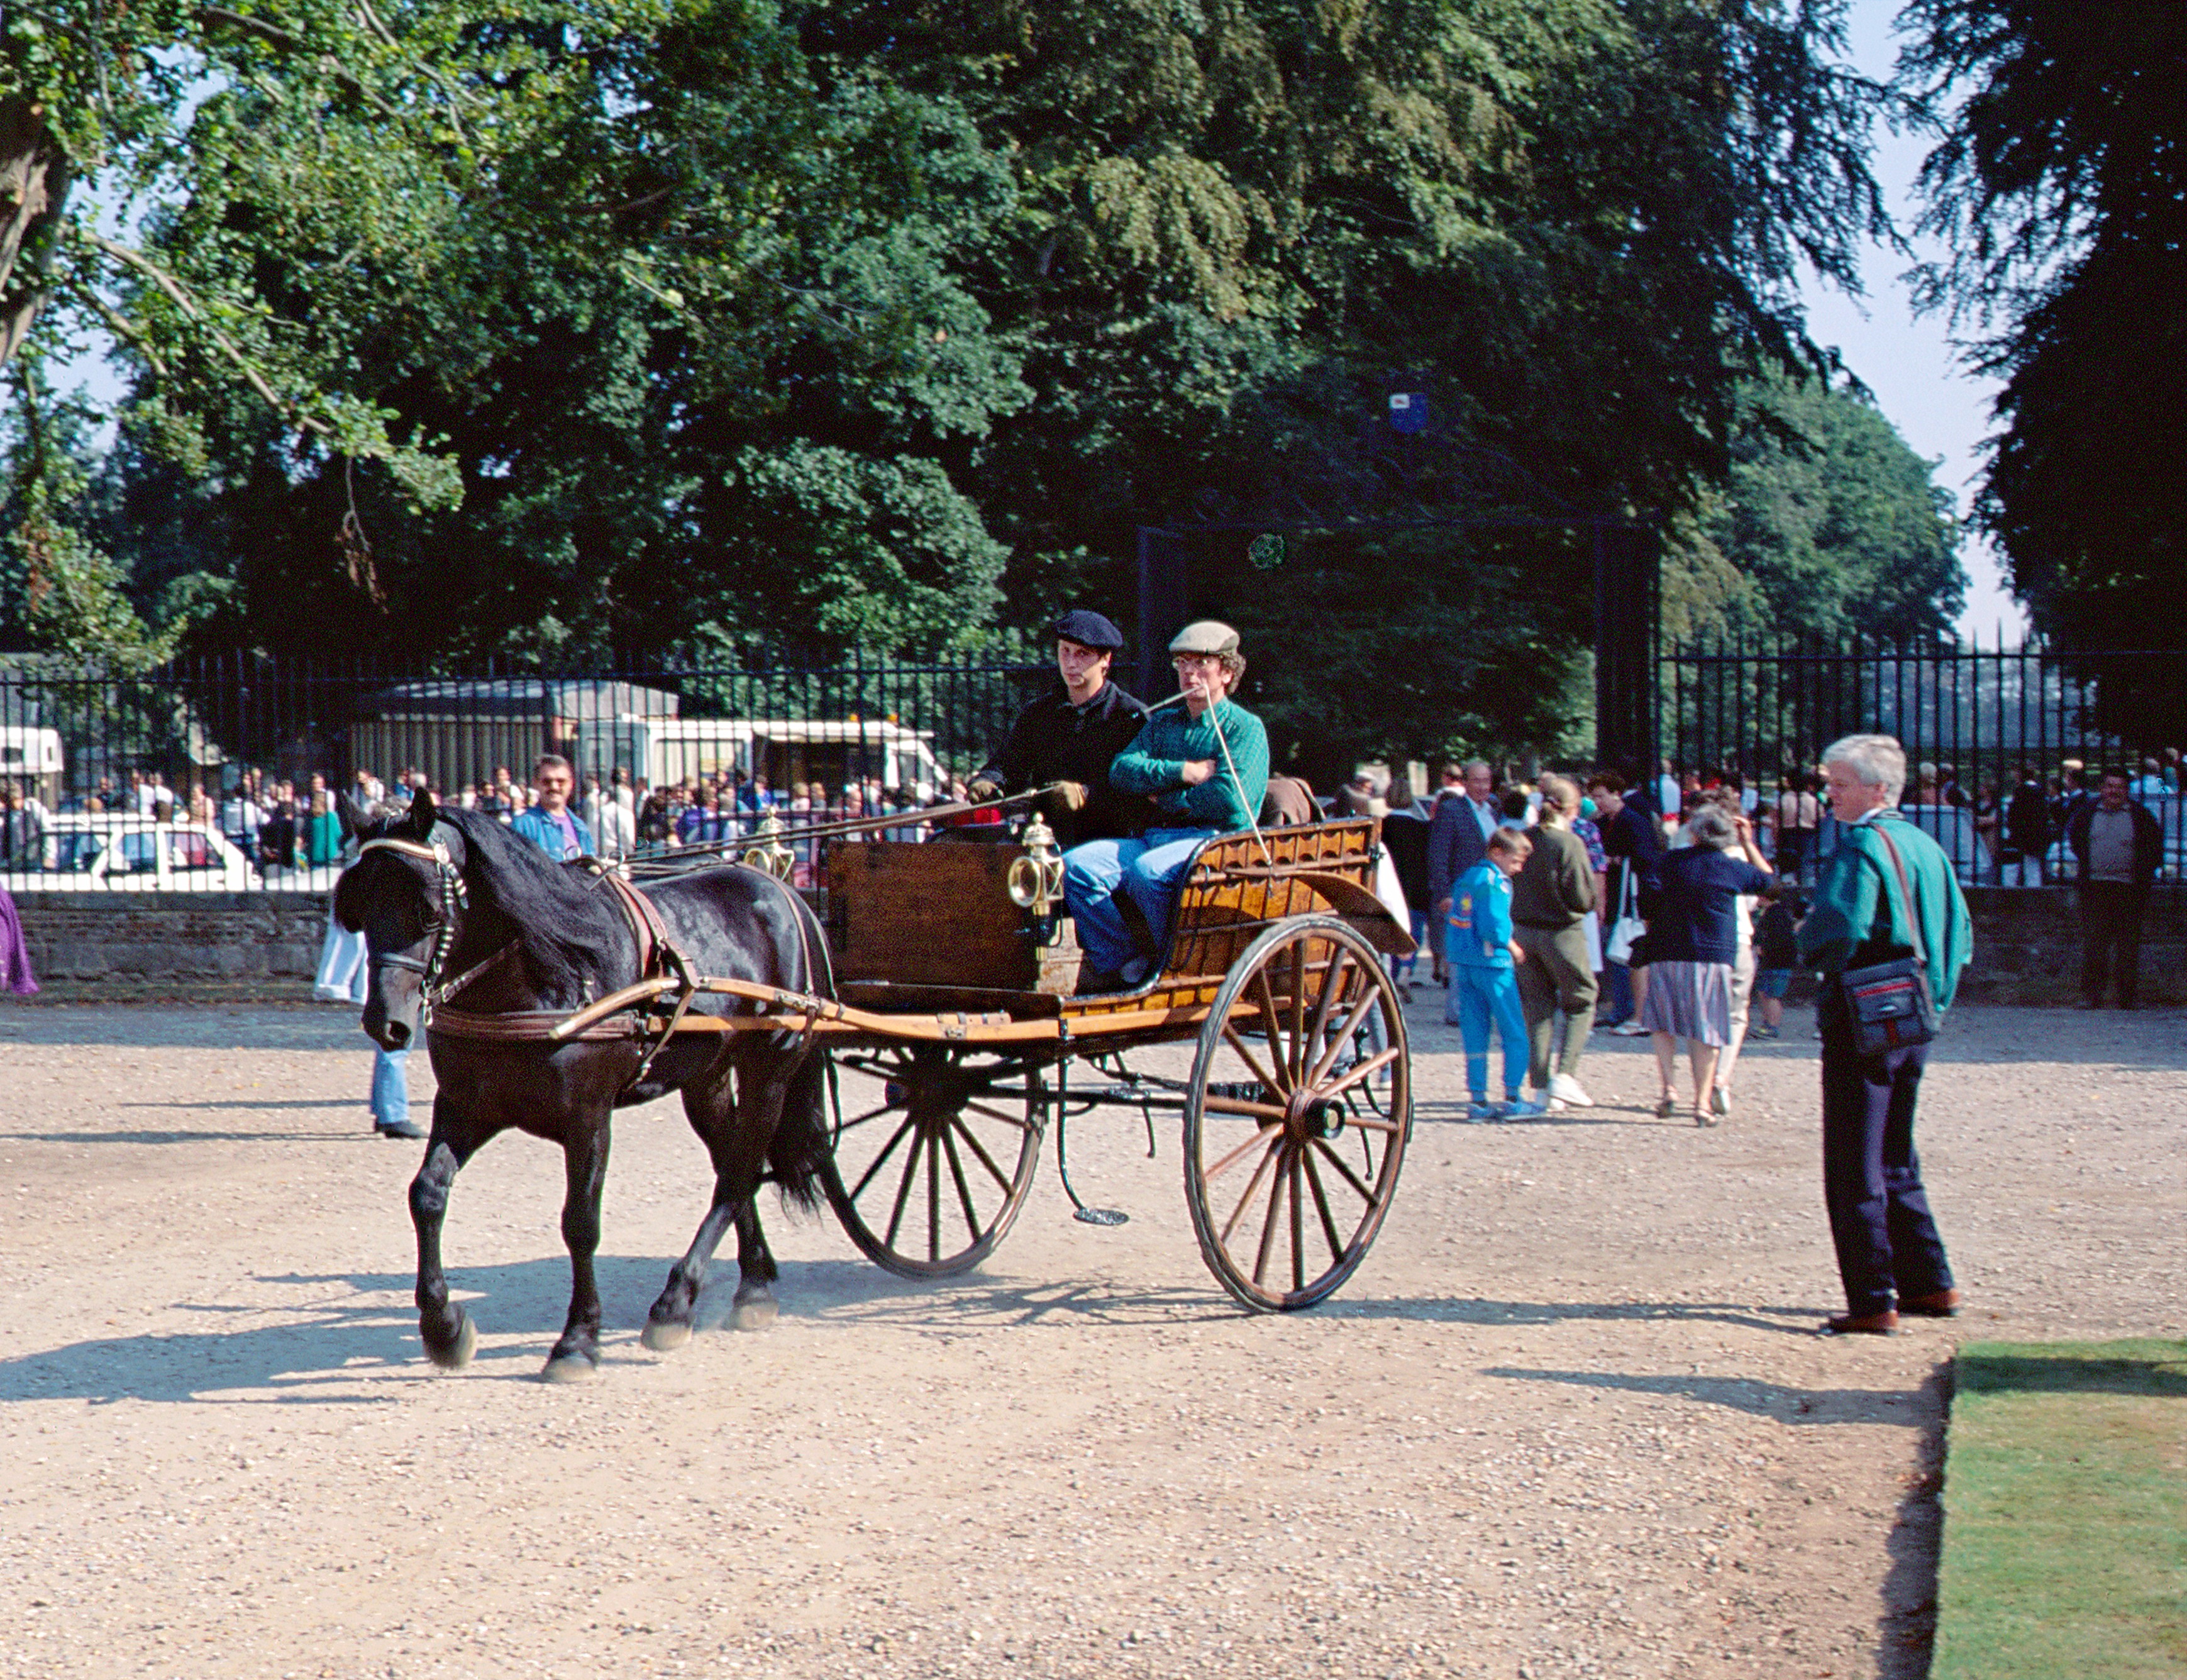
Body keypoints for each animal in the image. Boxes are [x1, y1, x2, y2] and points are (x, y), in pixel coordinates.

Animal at [328, 796, 831, 1382]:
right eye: (360, 909)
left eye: (430, 910)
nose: (386, 1024)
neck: (544, 979)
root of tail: (779, 888)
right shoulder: (467, 1107)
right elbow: (428, 1194)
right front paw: (443, 1326)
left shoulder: (588, 1119)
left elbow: (580, 1224)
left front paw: (578, 1339)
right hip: (705, 1079)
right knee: (735, 1163)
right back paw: (751, 1286)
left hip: (769, 1072)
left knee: (738, 1172)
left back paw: (676, 1303)